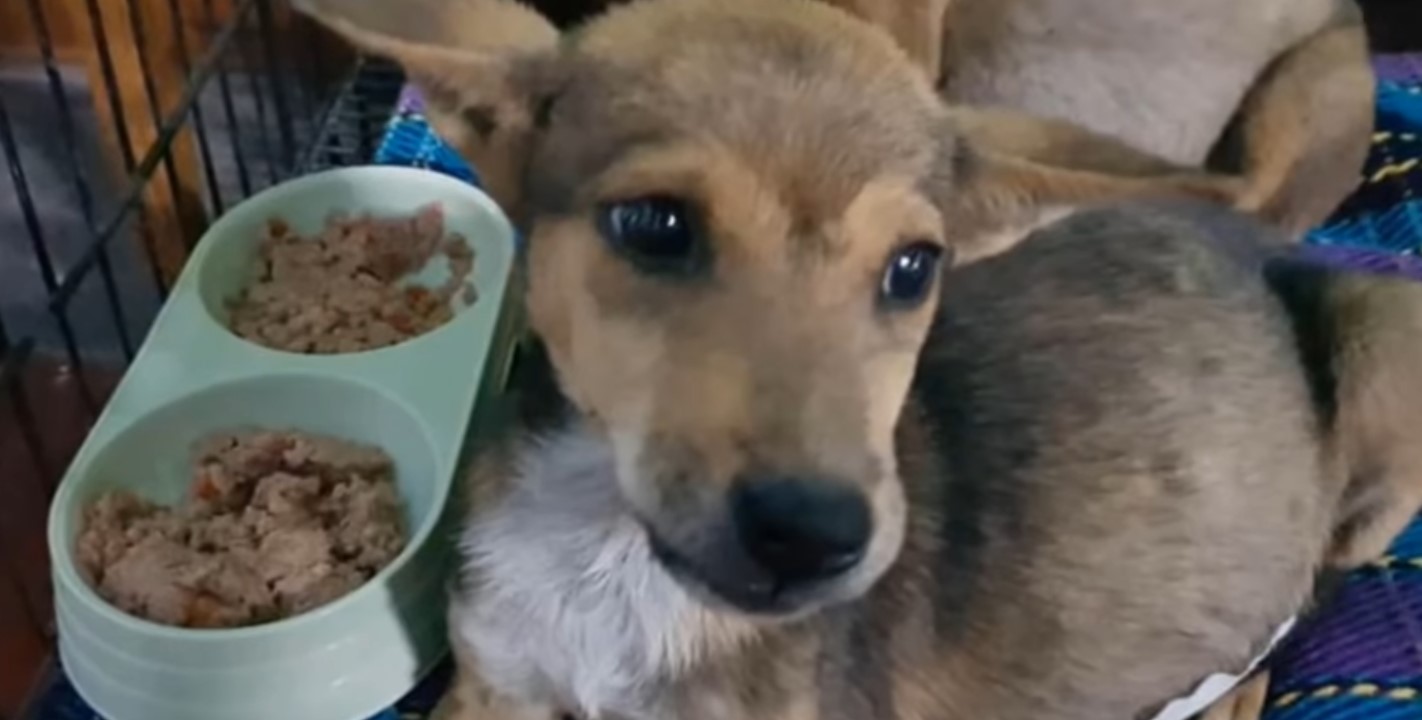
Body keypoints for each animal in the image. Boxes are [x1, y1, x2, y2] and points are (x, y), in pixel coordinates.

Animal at [288, 1, 1422, 720]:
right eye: (654, 225)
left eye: (915, 267)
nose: (813, 535)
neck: (609, 555)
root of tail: (1262, 237)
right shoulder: (492, 686)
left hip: (1388, 344)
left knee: (1290, 624)